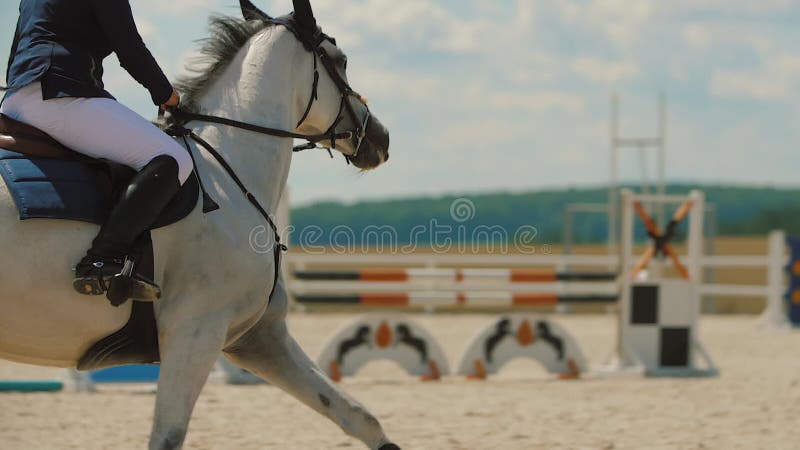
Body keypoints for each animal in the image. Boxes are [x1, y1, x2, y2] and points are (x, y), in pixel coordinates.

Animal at [0, 0, 398, 446]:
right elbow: (167, 436)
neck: (227, 169)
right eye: (340, 60)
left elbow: (358, 416)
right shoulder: (196, 332)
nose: (380, 139)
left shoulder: (259, 337)